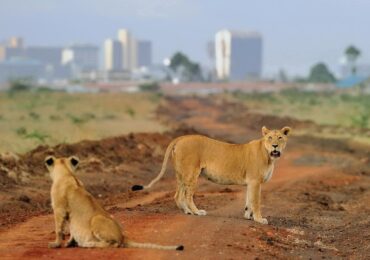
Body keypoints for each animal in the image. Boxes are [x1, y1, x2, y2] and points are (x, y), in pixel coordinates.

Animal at [45, 155, 184, 251]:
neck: (67, 173)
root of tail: (123, 236)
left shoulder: (59, 209)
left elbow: (59, 229)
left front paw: (56, 244)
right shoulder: (69, 214)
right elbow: (71, 229)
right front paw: (69, 243)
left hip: (96, 219)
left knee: (114, 244)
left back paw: (89, 244)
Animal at [133, 126, 292, 223]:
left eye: (280, 138)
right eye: (270, 138)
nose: (275, 146)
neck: (269, 156)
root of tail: (181, 137)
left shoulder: (251, 182)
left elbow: (248, 201)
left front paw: (248, 216)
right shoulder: (255, 181)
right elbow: (256, 201)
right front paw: (259, 219)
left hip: (181, 174)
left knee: (178, 195)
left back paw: (187, 212)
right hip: (192, 172)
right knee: (188, 195)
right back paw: (197, 212)